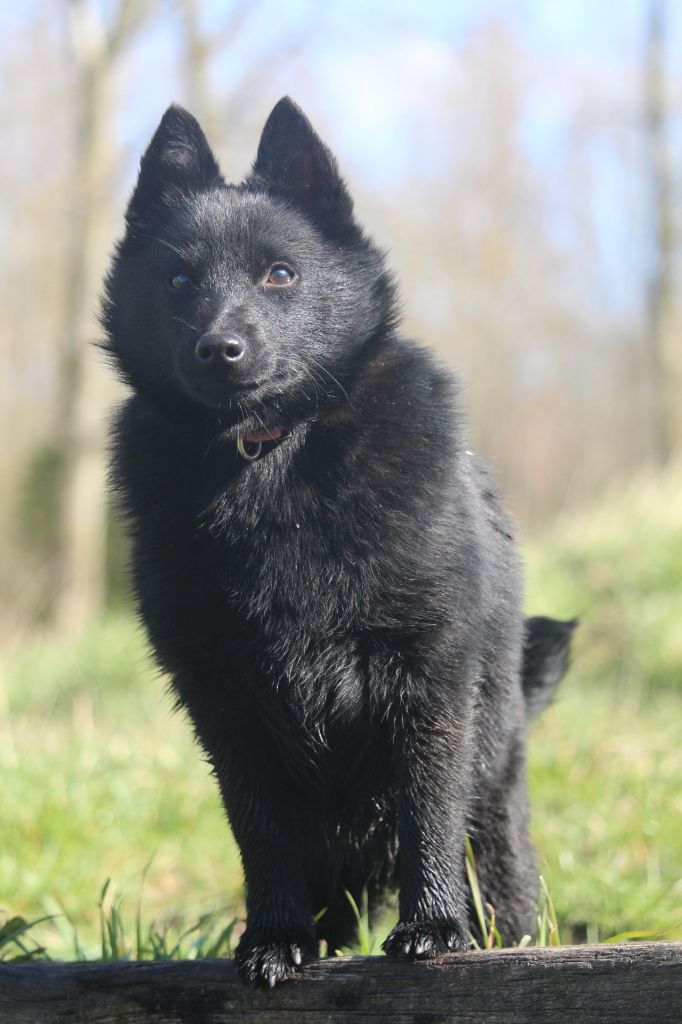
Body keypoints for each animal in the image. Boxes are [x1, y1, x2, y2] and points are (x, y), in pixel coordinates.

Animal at [103, 97, 573, 983]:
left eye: (280, 273)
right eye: (178, 280)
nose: (219, 349)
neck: (269, 459)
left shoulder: (426, 676)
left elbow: (427, 808)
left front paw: (433, 926)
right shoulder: (226, 704)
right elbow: (261, 835)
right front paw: (275, 937)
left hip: (496, 798)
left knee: (497, 875)